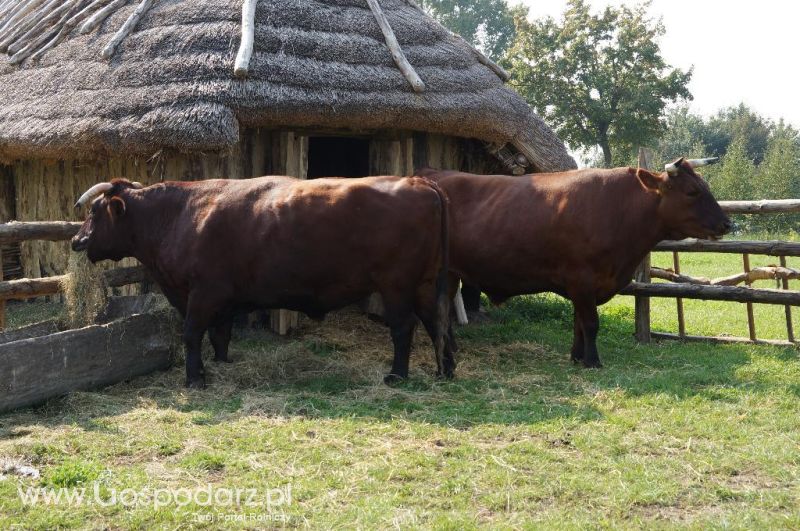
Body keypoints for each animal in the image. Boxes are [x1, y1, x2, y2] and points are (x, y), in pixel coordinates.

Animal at [72, 177, 454, 388]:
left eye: (93, 212)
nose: (76, 240)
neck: (181, 214)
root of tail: (420, 182)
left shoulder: (203, 293)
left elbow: (192, 333)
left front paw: (195, 379)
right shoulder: (222, 297)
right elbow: (220, 333)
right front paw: (221, 363)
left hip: (397, 285)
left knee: (404, 328)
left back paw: (397, 376)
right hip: (424, 283)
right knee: (437, 324)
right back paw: (445, 370)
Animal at [424, 156, 732, 368]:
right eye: (692, 191)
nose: (727, 223)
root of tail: (432, 174)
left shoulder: (582, 285)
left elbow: (579, 324)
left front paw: (576, 356)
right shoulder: (582, 279)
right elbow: (591, 323)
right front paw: (593, 361)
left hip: (451, 274)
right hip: (444, 272)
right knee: (440, 310)